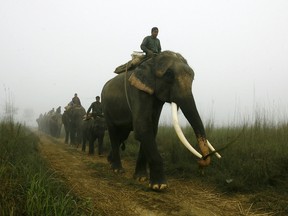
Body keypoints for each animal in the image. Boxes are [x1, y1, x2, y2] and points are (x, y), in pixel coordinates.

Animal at [101, 50, 220, 191]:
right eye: (169, 75)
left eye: (193, 77)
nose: (201, 161)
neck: (152, 60)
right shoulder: (137, 92)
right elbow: (142, 128)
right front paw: (159, 186)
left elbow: (152, 129)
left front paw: (141, 178)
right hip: (106, 107)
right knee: (114, 133)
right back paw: (117, 170)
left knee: (122, 135)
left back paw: (110, 161)